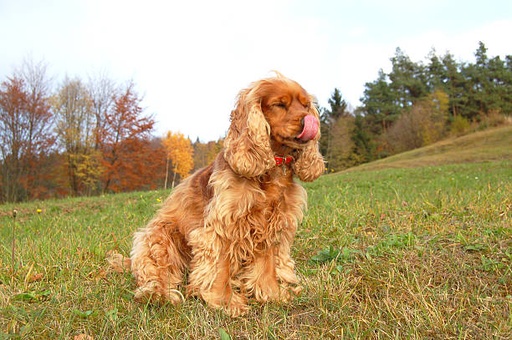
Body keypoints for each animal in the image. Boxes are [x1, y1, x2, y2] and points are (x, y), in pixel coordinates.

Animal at [128, 73, 324, 316]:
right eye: (280, 104)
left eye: (305, 105)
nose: (310, 120)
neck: (273, 167)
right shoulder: (222, 225)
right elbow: (220, 267)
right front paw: (225, 301)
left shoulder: (270, 225)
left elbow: (267, 265)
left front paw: (272, 294)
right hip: (160, 237)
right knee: (156, 275)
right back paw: (159, 294)